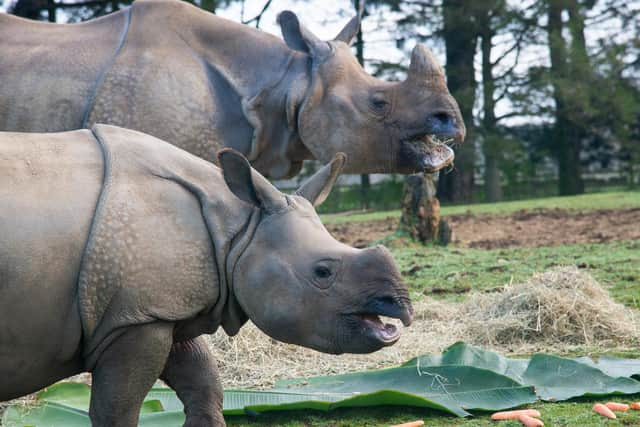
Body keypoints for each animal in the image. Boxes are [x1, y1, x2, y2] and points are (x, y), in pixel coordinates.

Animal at [0, 125, 412, 427]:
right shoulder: (133, 317)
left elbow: (203, 383)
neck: (238, 227)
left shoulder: (161, 308)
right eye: (323, 272)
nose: (401, 313)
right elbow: (116, 409)